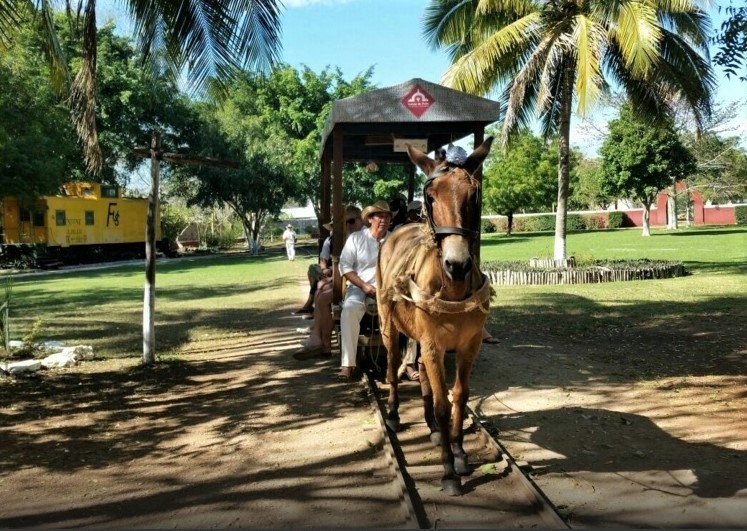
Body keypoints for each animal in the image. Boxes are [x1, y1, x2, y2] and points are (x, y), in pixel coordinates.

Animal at [376, 136, 494, 494]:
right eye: (431, 196)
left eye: (474, 195)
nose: (457, 264)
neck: (452, 290)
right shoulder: (433, 344)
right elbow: (444, 404)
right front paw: (449, 471)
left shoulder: (469, 345)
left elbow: (459, 396)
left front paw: (459, 450)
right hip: (388, 323)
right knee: (391, 364)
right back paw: (394, 411)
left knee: (425, 378)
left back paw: (431, 427)